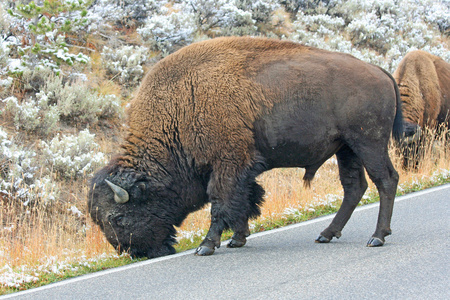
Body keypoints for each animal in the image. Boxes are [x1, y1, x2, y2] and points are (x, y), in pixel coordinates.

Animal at [87, 37, 400, 258]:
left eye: (117, 218)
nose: (133, 253)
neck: (178, 109)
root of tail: (379, 70)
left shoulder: (228, 163)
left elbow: (222, 202)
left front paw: (206, 246)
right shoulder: (241, 168)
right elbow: (244, 200)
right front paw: (237, 240)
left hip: (368, 143)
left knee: (385, 180)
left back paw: (377, 237)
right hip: (346, 149)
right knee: (354, 187)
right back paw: (326, 233)